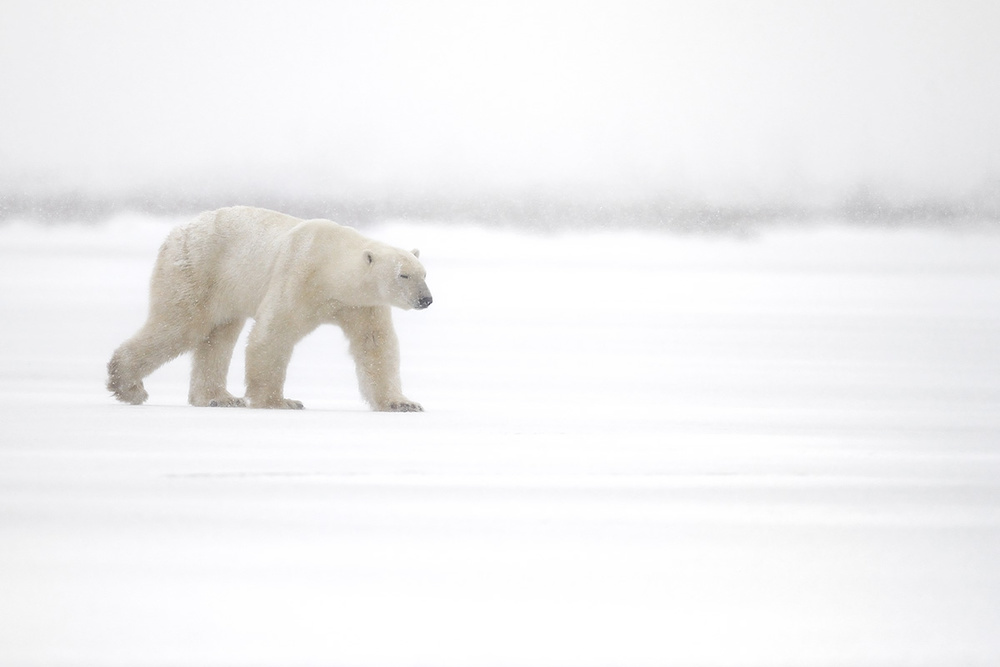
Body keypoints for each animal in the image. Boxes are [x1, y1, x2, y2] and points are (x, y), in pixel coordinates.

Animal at [107, 206, 432, 410]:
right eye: (403, 275)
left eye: (424, 274)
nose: (426, 299)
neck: (331, 268)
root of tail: (176, 232)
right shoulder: (299, 274)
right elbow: (273, 334)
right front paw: (282, 402)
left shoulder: (361, 304)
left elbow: (375, 346)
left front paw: (403, 403)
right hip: (197, 269)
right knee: (181, 325)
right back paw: (128, 386)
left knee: (218, 335)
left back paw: (220, 397)